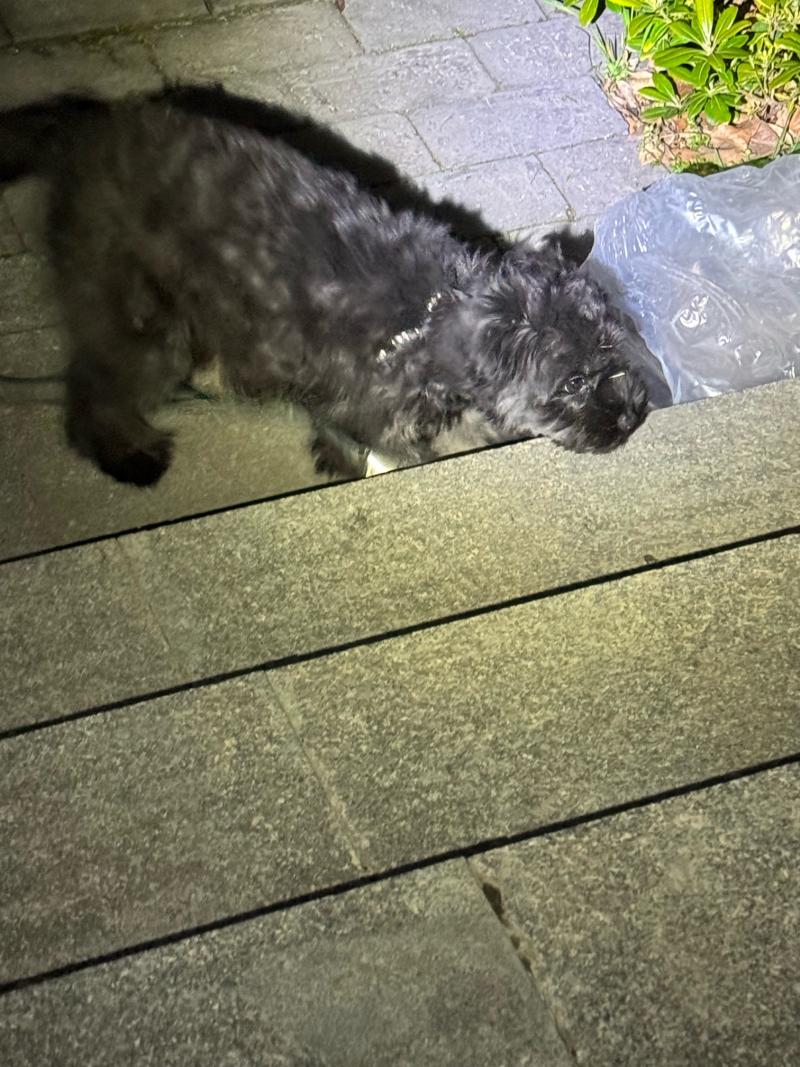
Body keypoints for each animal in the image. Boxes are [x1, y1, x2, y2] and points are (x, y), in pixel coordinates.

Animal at [0, 90, 653, 486]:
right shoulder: (368, 408)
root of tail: (88, 127)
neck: (426, 320)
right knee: (95, 390)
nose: (632, 416)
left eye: (615, 352)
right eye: (572, 382)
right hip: (140, 317)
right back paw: (128, 454)